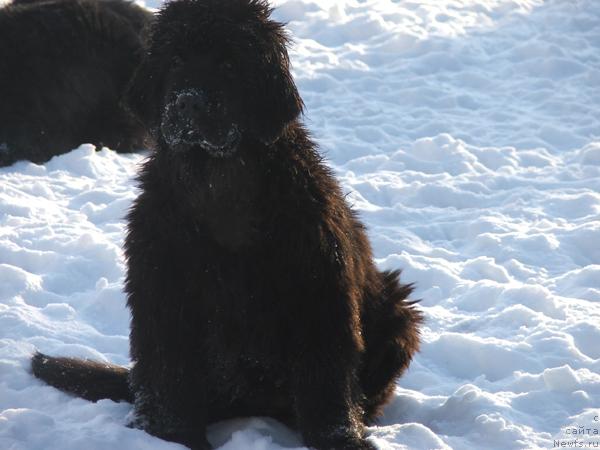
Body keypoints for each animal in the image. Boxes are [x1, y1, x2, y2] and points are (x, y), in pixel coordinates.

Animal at [29, 1, 422, 448]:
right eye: (176, 59)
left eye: (230, 64)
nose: (189, 104)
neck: (217, 180)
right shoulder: (161, 291)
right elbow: (168, 379)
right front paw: (170, 437)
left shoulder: (318, 290)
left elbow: (326, 381)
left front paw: (339, 440)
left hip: (397, 312)